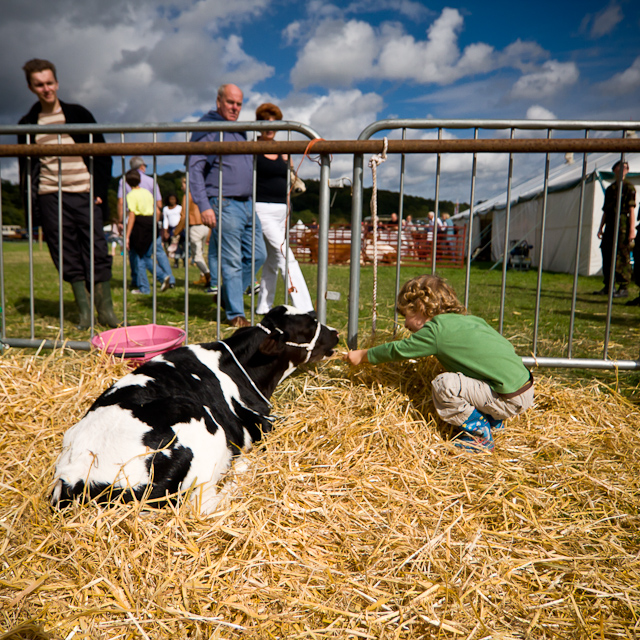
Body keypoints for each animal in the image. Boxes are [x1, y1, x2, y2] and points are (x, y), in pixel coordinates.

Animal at [51, 306, 340, 516]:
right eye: (309, 326)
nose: (336, 332)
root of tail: (78, 478)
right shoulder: (262, 422)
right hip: (196, 422)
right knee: (204, 504)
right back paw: (242, 470)